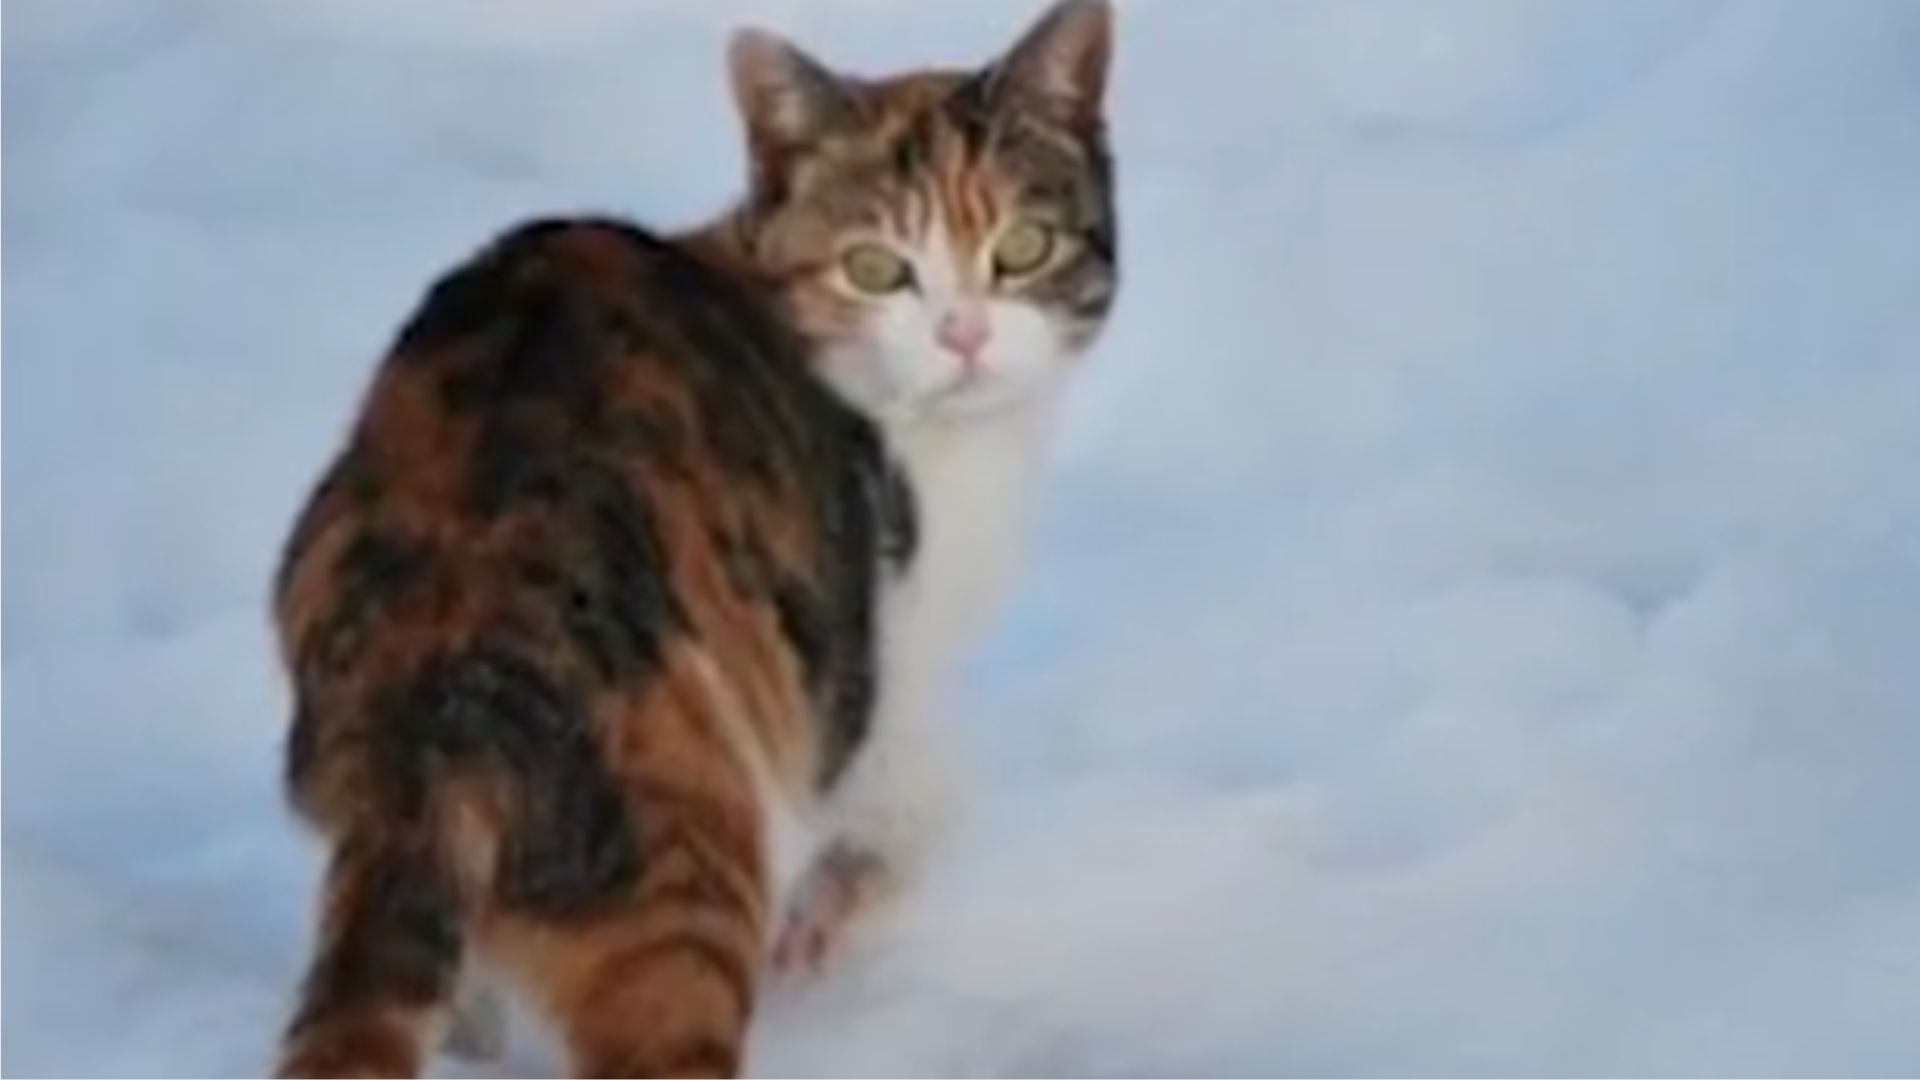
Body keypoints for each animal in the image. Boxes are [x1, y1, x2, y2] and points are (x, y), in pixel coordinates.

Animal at [270, 1, 1116, 1076]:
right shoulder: (876, 660)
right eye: (876, 268)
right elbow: (917, 806)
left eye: (1023, 247)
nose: (964, 336)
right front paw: (828, 916)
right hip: (679, 866)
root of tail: (443, 706)